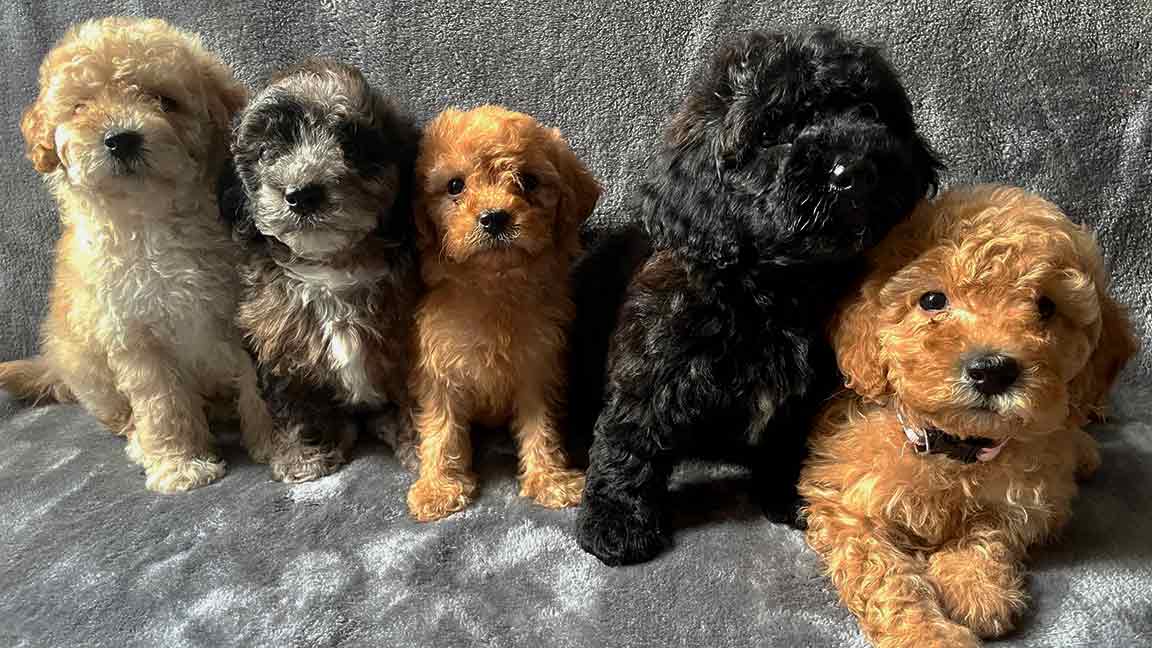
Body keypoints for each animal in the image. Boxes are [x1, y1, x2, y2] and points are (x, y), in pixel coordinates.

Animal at [0, 16, 274, 488]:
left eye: (165, 101)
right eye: (81, 107)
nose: (121, 139)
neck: (152, 222)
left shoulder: (236, 309)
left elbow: (257, 381)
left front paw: (279, 443)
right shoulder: (133, 336)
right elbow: (161, 404)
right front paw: (180, 464)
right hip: (88, 367)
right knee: (123, 416)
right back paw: (141, 443)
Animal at [222, 60, 421, 481]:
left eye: (353, 147)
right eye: (267, 152)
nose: (302, 194)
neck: (333, 268)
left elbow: (417, 399)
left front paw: (420, 448)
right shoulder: (277, 346)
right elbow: (293, 406)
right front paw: (303, 457)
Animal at [407, 106, 603, 518]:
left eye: (529, 181)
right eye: (455, 186)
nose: (495, 217)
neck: (494, 287)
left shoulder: (537, 367)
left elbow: (540, 427)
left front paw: (550, 479)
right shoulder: (437, 369)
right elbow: (441, 429)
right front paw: (437, 487)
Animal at [571, 28, 940, 564]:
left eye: (869, 111)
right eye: (769, 136)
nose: (851, 170)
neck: (776, 286)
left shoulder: (809, 391)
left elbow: (791, 440)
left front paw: (789, 493)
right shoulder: (653, 359)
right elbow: (631, 434)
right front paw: (615, 519)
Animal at [801, 184, 1133, 645]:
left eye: (1046, 307)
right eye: (932, 300)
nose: (992, 371)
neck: (954, 447)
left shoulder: (1029, 498)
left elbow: (989, 527)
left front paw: (976, 587)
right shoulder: (849, 507)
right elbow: (885, 577)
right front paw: (928, 634)